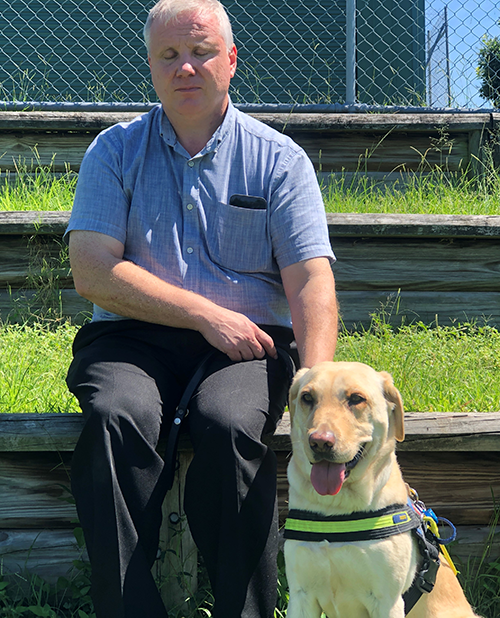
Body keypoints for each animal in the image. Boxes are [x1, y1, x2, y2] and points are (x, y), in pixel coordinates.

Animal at [284, 360, 478, 616]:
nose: (320, 442)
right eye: (307, 397)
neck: (336, 509)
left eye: (356, 398)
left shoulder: (387, 601)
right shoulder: (301, 596)